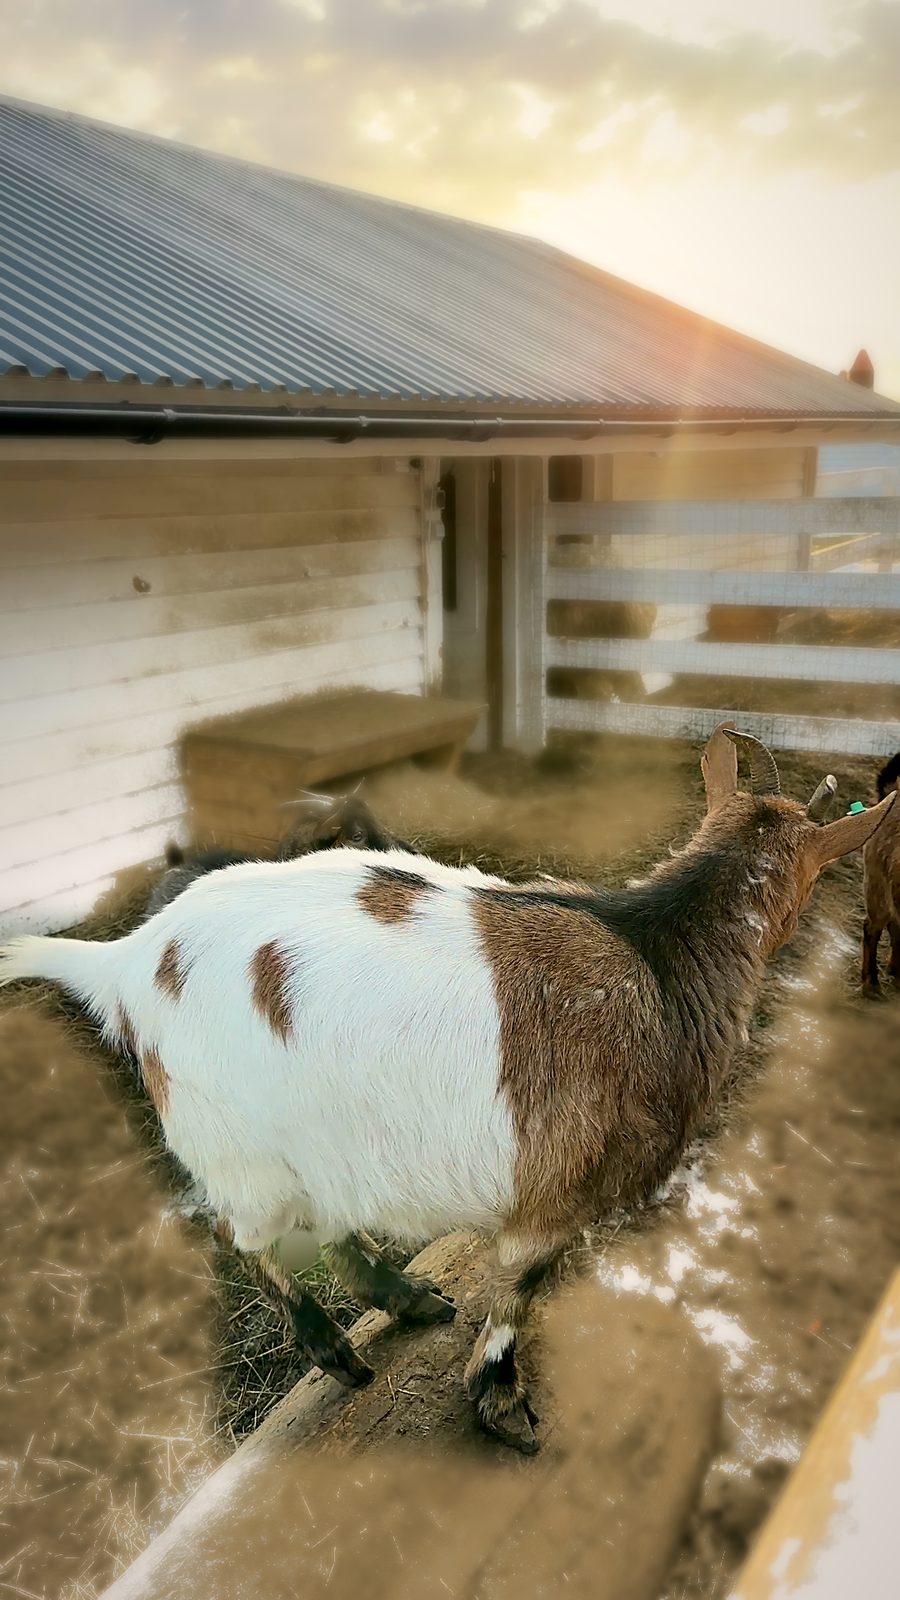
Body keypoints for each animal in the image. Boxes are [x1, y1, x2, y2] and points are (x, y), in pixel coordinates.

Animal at [1, 727, 893, 1453]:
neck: (656, 952)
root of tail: (125, 962)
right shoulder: (556, 1192)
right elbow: (519, 1292)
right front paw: (501, 1406)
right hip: (237, 1147)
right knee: (241, 1235)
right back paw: (334, 1349)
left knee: (325, 1230)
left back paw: (409, 1301)